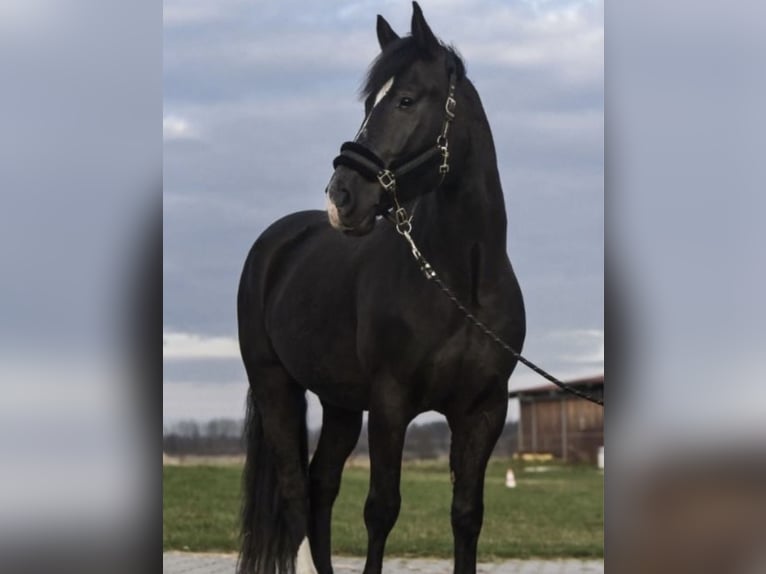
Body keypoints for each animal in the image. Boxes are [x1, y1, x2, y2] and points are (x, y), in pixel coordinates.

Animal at [238, 4, 528, 574]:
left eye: (407, 99)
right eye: (370, 102)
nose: (342, 196)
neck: (461, 283)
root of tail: (275, 243)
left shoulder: (483, 410)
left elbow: (467, 515)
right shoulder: (390, 404)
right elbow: (382, 509)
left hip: (340, 404)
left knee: (320, 485)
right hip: (275, 386)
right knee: (295, 491)